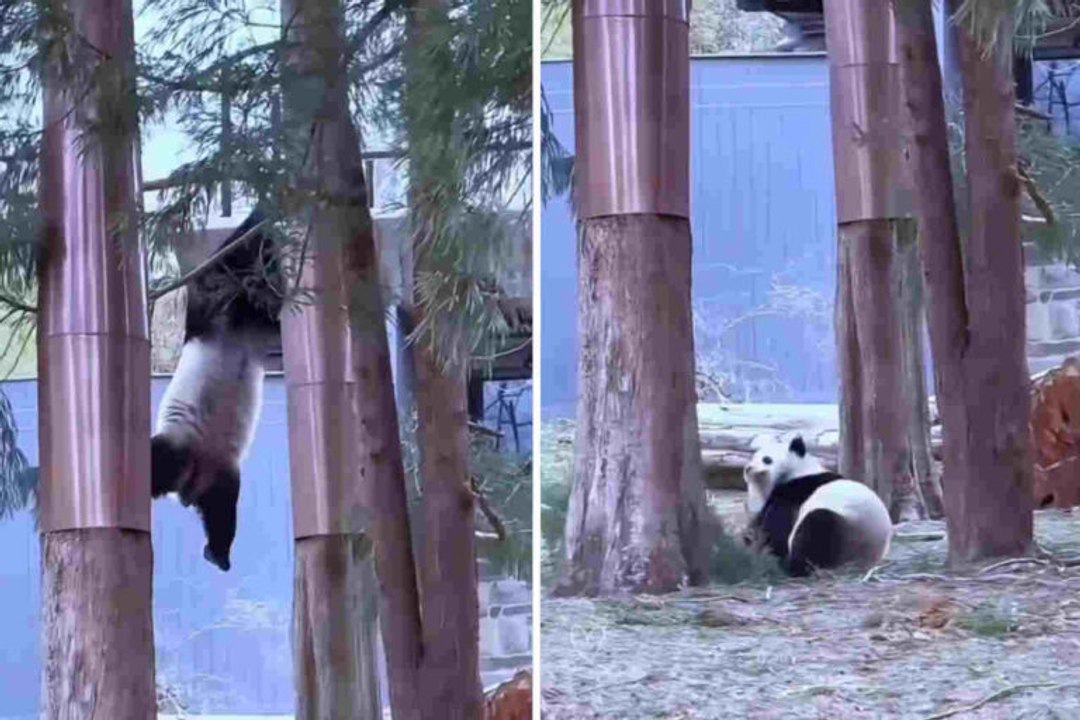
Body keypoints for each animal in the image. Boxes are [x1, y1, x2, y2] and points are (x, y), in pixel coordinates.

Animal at [151, 209, 283, 572]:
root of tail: (187, 487)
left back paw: (218, 554)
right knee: (157, 461)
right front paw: (259, 218)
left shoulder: (254, 322)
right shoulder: (214, 306)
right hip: (180, 442)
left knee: (223, 512)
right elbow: (217, 269)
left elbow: (272, 313)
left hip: (222, 472)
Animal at [742, 435, 892, 577]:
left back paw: (794, 567)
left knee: (817, 526)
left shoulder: (798, 488)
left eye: (766, 459)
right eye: (752, 457)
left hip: (849, 533)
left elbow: (778, 522)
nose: (748, 468)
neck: (800, 469)